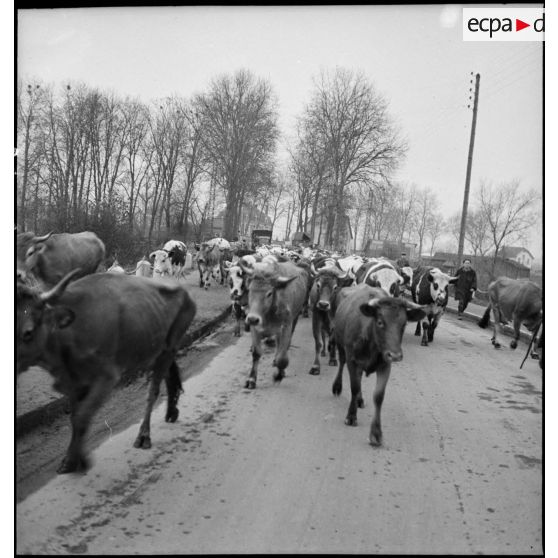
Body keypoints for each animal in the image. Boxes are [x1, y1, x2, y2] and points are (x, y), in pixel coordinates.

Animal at [15, 274, 197, 474]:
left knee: (153, 391)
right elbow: (75, 417)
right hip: (155, 349)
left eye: (28, 332)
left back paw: (144, 435)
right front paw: (71, 458)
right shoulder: (73, 384)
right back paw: (171, 411)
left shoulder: (107, 378)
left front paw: (78, 459)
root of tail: (184, 289)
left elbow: (82, 417)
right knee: (169, 374)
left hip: (170, 346)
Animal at [241, 262, 310, 390]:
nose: (252, 318)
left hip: (294, 318)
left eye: (269, 293)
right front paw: (251, 379)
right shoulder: (255, 328)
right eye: (250, 290)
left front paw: (278, 375)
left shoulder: (286, 326)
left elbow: (282, 358)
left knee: (284, 347)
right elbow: (256, 353)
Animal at [330, 286, 426, 448]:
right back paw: (337, 387)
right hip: (339, 342)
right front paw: (351, 416)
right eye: (380, 322)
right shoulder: (352, 361)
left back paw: (360, 400)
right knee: (341, 364)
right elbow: (354, 387)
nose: (395, 355)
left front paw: (376, 433)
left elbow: (378, 396)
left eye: (404, 324)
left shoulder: (385, 366)